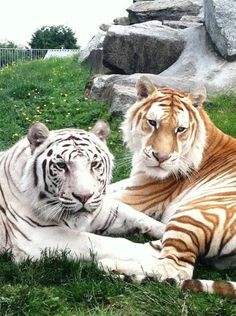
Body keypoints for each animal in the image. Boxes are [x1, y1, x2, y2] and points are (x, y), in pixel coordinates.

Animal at [0, 121, 164, 262]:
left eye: (94, 164)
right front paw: (152, 254)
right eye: (61, 165)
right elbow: (103, 242)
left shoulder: (101, 209)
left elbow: (135, 215)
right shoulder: (38, 235)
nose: (84, 197)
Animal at [99, 76, 236, 298]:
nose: (161, 157)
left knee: (177, 270)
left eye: (180, 129)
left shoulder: (140, 195)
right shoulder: (135, 181)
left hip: (193, 214)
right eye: (152, 123)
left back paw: (111, 265)